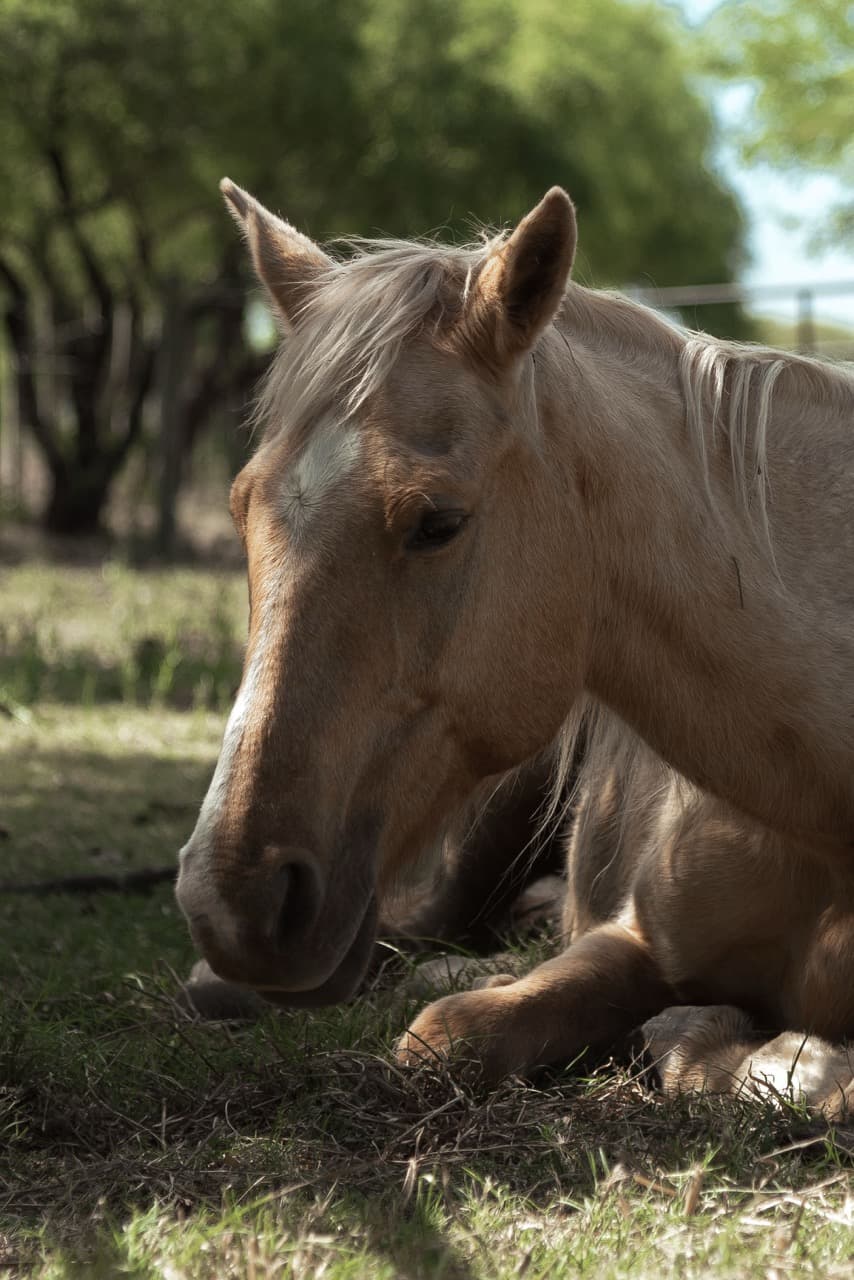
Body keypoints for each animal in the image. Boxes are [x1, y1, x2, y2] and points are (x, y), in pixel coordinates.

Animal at [176, 179, 854, 1109]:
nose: (231, 901)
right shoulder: (634, 939)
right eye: (243, 507)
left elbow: (812, 1074)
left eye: (437, 522)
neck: (827, 819)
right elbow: (446, 1035)